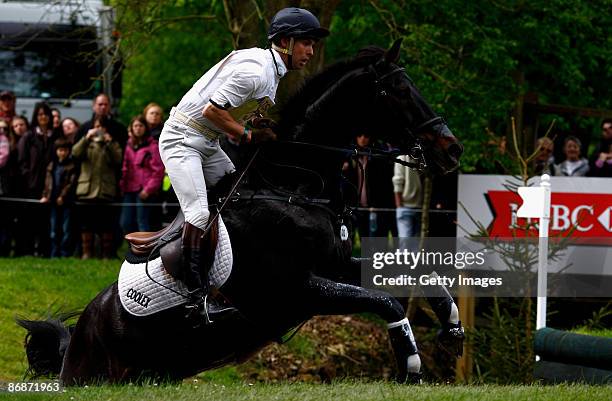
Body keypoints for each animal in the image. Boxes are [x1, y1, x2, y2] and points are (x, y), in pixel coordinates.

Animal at [16, 39, 462, 382]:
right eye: (400, 90)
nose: (452, 148)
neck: (294, 187)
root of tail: (78, 333)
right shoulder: (295, 290)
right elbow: (385, 301)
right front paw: (410, 363)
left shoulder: (336, 265)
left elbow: (408, 272)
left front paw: (452, 322)